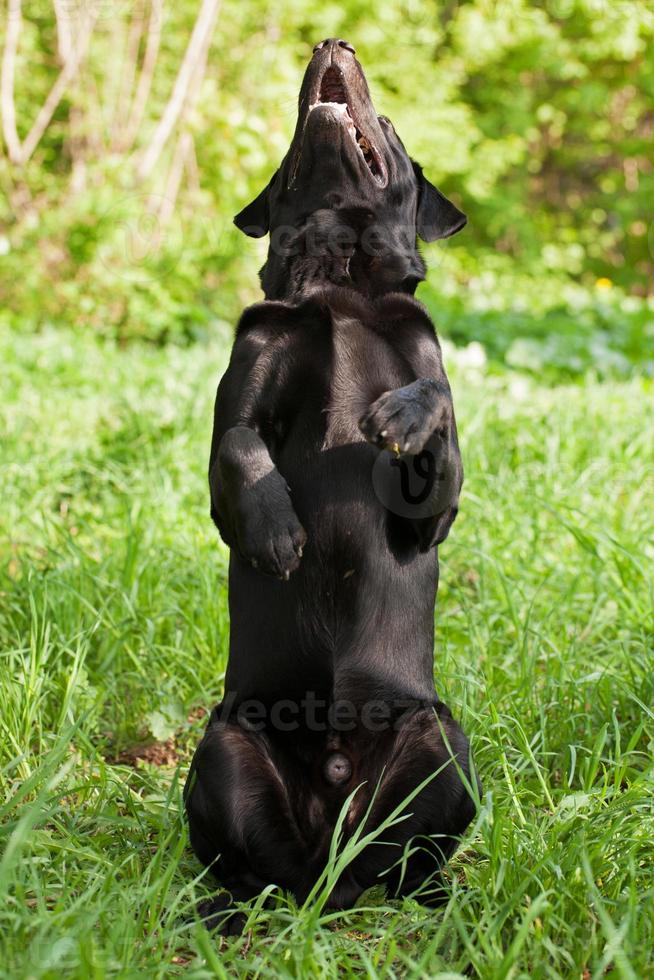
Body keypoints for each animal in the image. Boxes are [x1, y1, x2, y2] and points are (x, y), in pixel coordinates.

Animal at [184, 36, 476, 928]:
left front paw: (401, 417)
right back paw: (221, 913)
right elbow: (241, 447)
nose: (333, 41)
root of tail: (329, 862)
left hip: (442, 747)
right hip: (224, 750)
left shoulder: (433, 509)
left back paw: (439, 903)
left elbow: (436, 400)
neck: (340, 286)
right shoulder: (240, 400)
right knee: (244, 867)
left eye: (390, 127)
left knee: (410, 863)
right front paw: (278, 532)